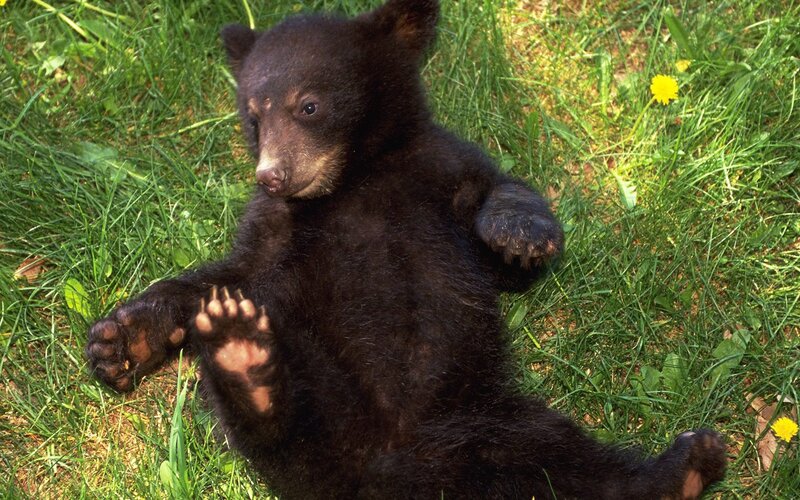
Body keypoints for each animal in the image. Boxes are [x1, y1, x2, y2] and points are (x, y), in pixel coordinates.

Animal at [85, 0, 727, 498]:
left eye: (308, 104)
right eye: (252, 116)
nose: (272, 174)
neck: (354, 180)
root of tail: (390, 468)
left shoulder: (437, 170)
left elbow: (499, 201)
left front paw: (520, 235)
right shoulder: (271, 231)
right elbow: (223, 277)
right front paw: (121, 339)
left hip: (493, 421)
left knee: (570, 464)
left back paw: (684, 467)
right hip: (325, 390)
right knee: (284, 433)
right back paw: (242, 357)